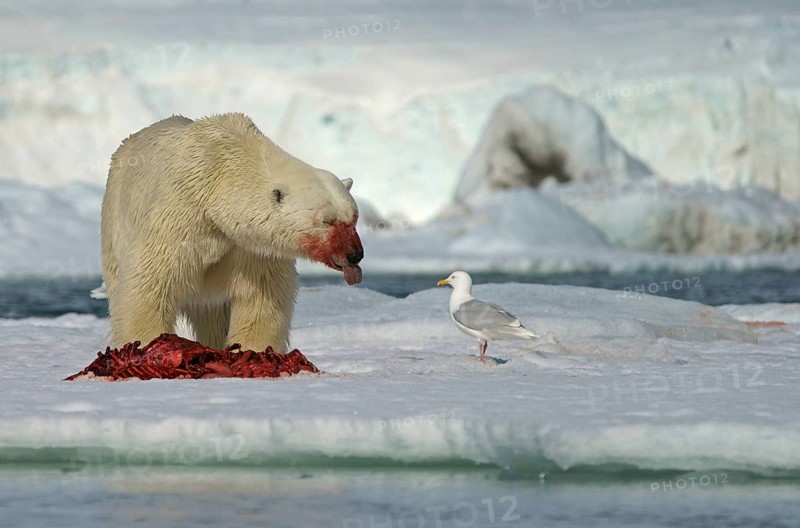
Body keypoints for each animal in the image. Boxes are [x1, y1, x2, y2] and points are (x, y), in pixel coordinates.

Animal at [101, 112, 363, 353]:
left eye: (354, 218)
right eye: (327, 220)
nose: (355, 254)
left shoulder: (252, 246)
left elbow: (261, 297)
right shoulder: (179, 215)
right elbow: (152, 281)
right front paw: (145, 346)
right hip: (115, 222)